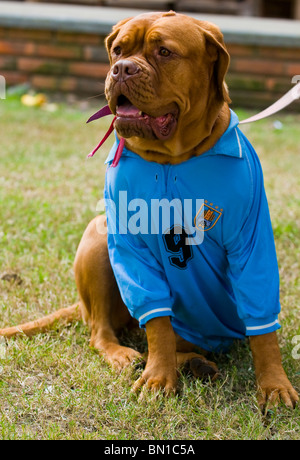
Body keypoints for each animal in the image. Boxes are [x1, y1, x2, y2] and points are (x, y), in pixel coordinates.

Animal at [0, 12, 298, 412]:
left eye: (164, 52)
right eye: (117, 50)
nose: (122, 69)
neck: (173, 158)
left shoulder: (251, 243)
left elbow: (264, 331)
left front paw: (274, 383)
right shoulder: (129, 246)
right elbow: (157, 324)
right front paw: (159, 377)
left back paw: (197, 363)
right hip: (99, 237)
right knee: (102, 332)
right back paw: (133, 356)